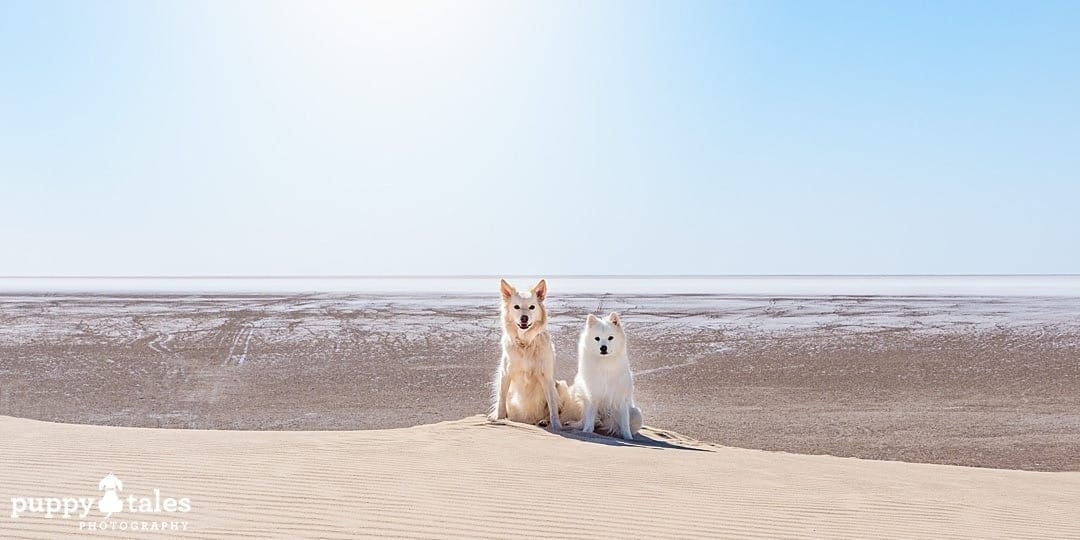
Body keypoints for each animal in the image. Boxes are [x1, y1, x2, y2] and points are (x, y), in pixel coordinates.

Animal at [488, 278, 557, 429]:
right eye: (516, 307)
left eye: (532, 307)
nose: (524, 318)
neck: (525, 344)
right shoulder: (505, 374)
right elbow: (501, 401)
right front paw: (499, 419)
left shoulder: (547, 377)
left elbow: (553, 406)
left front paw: (557, 426)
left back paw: (544, 421)